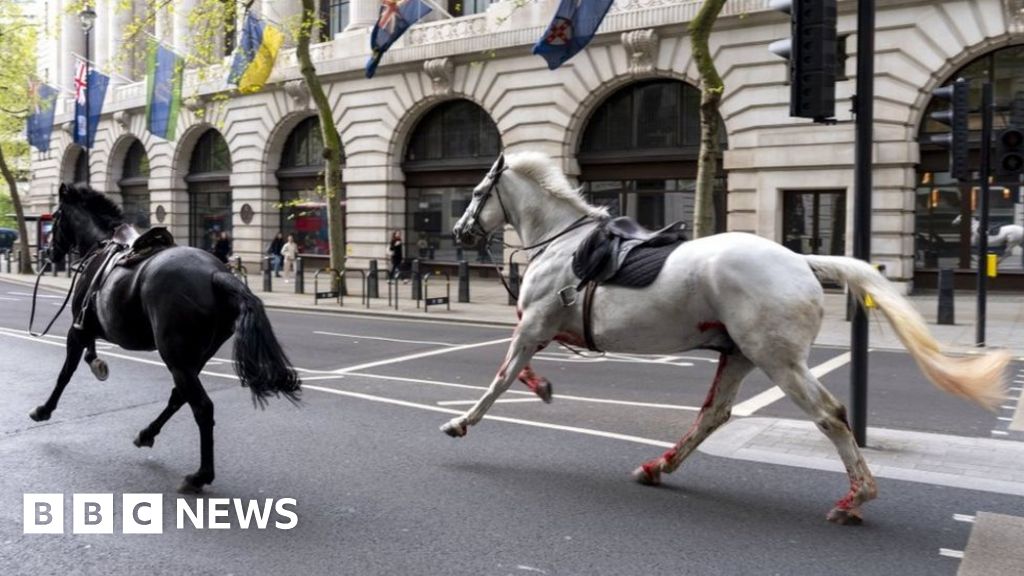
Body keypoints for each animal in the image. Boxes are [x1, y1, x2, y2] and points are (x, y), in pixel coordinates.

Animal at [35, 181, 299, 491]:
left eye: (55, 218)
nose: (48, 254)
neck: (101, 245)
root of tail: (217, 274)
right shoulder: (88, 328)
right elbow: (88, 354)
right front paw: (98, 365)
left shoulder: (77, 328)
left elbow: (65, 373)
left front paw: (44, 409)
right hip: (193, 358)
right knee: (179, 397)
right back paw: (147, 434)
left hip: (176, 357)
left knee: (202, 407)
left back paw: (200, 475)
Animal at [446, 150, 1007, 522]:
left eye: (475, 192)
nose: (459, 232)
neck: (563, 243)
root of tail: (803, 261)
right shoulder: (542, 327)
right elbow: (519, 371)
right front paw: (541, 387)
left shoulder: (534, 324)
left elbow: (502, 376)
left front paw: (462, 422)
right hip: (739, 354)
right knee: (714, 414)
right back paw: (658, 466)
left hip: (777, 359)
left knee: (829, 415)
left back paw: (855, 498)